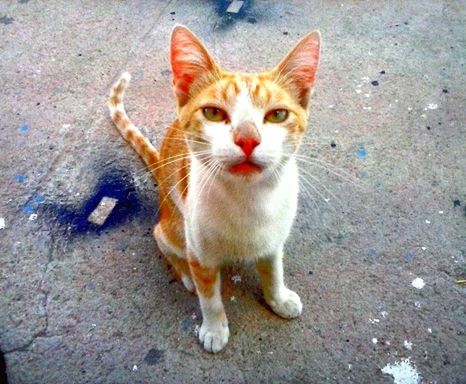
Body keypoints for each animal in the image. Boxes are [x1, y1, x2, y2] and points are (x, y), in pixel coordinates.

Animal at [109, 25, 320, 352]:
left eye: (277, 115)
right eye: (213, 113)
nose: (247, 139)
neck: (249, 199)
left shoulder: (273, 239)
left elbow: (274, 271)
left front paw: (279, 298)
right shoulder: (200, 252)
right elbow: (209, 296)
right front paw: (214, 328)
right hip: (173, 227)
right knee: (163, 241)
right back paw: (184, 275)